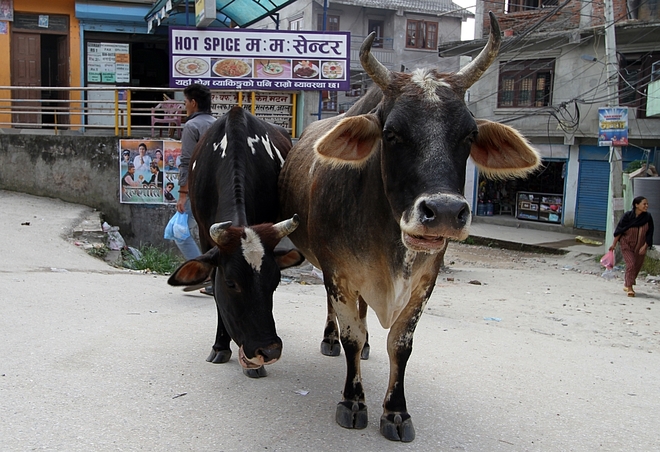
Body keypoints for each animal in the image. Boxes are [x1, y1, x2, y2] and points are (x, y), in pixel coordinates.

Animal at [170, 106, 304, 378]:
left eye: (275, 281)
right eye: (231, 283)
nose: (269, 351)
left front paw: (253, 365)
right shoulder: (204, 234)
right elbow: (215, 286)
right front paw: (221, 345)